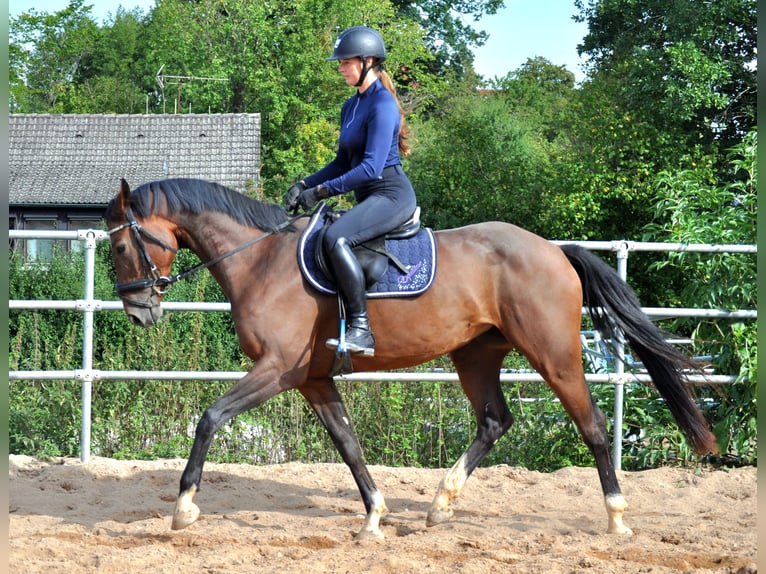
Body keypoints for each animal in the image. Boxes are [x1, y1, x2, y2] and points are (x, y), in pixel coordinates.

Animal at [105, 177, 717, 539]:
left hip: (555, 354)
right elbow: (348, 444)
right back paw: (441, 504)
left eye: (119, 244)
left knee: (591, 426)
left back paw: (616, 517)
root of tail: (553, 250)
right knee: (495, 420)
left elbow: (209, 418)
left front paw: (184, 507)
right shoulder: (313, 379)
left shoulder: (277, 370)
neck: (261, 261)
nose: (137, 312)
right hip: (476, 355)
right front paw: (374, 516)